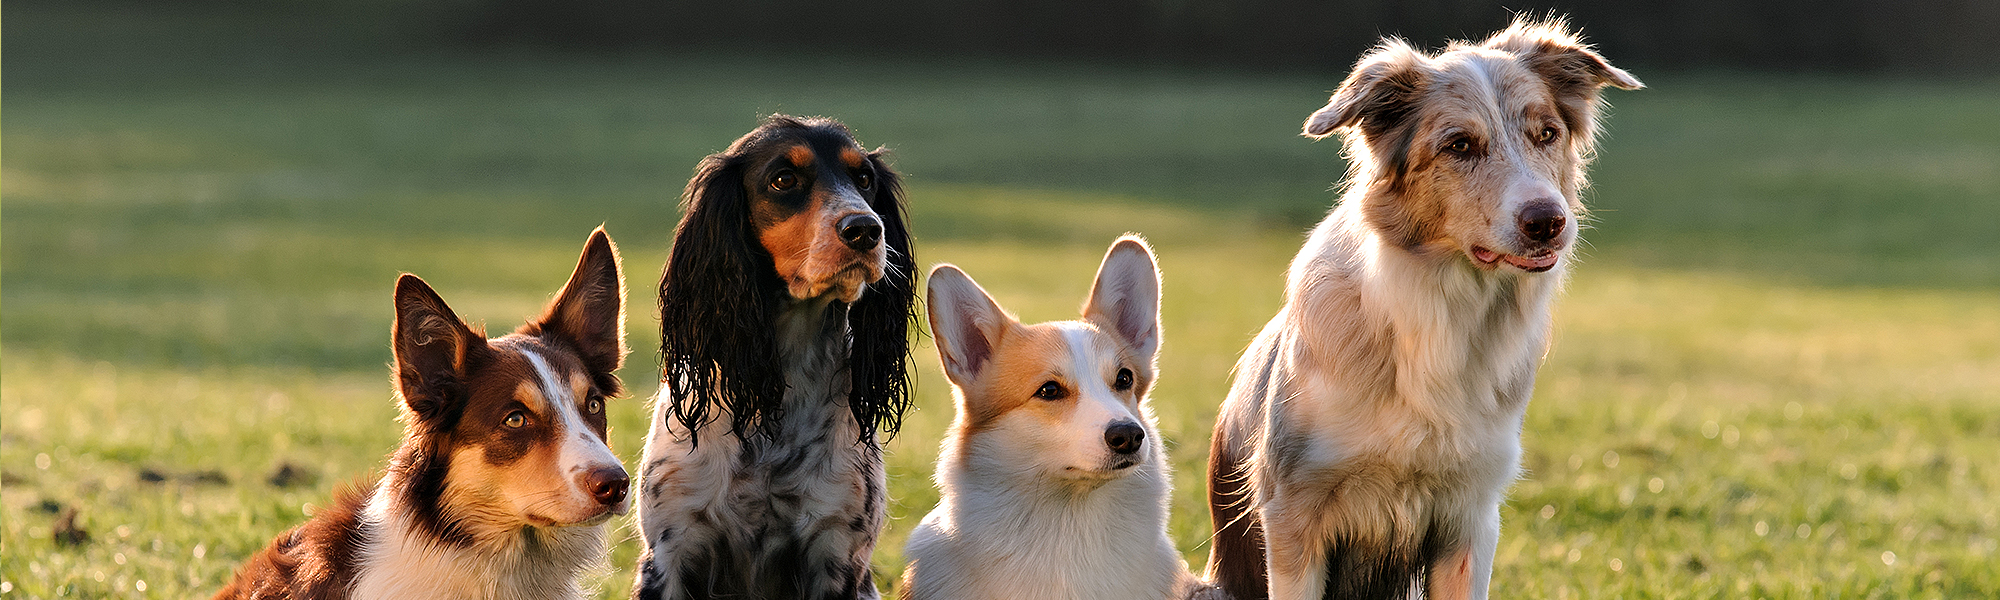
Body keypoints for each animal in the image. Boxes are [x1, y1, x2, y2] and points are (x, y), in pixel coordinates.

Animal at [1200, 18, 1640, 600]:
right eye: (1459, 145)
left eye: (1547, 134)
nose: (1549, 222)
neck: (1445, 309)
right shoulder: (1294, 516)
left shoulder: (1469, 519)